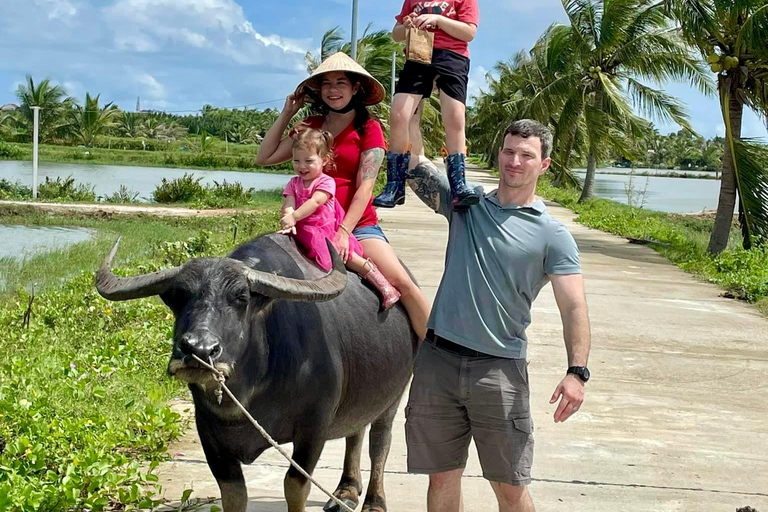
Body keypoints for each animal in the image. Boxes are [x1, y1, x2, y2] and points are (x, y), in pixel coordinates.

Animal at [97, 235, 420, 512]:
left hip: (393, 397)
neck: (250, 391)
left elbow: (295, 486)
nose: (199, 350)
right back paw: (347, 492)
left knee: (379, 442)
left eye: (241, 297)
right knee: (356, 431)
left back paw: (374, 501)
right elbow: (234, 495)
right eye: (178, 296)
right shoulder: (209, 433)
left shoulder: (314, 427)